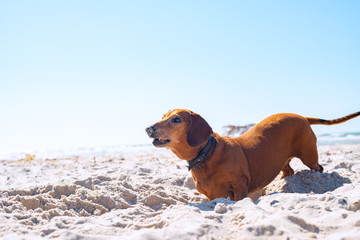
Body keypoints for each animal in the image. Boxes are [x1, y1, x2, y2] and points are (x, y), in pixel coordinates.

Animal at [145, 109, 358, 202]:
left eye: (176, 119)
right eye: (162, 116)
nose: (148, 128)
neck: (207, 156)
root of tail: (301, 116)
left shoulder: (239, 185)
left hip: (309, 156)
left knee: (318, 168)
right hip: (281, 160)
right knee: (288, 171)